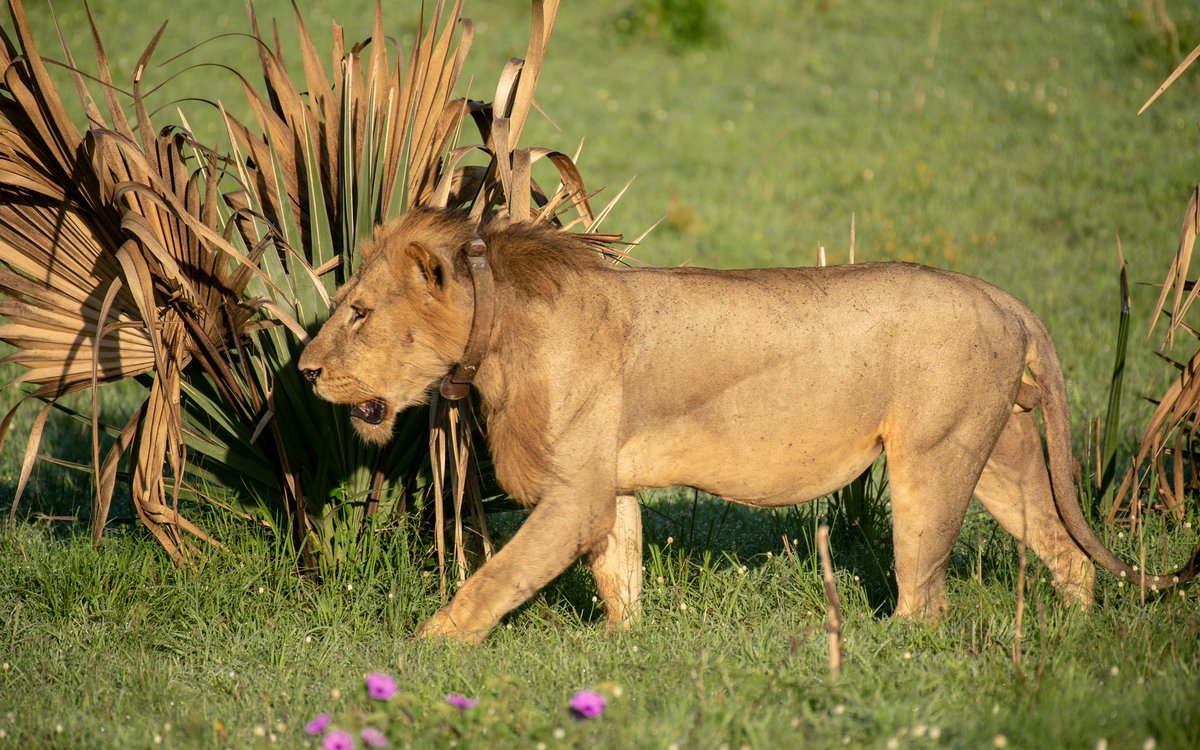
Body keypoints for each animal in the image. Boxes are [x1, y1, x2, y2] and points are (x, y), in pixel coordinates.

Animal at [298, 208, 1198, 643]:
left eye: (360, 312)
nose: (304, 372)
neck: (497, 328)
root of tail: (1002, 295)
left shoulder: (571, 494)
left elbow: (497, 576)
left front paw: (427, 648)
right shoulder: (606, 486)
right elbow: (619, 571)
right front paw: (622, 649)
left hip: (931, 460)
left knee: (927, 593)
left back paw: (880, 647)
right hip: (1002, 454)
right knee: (1065, 554)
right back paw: (1073, 629)